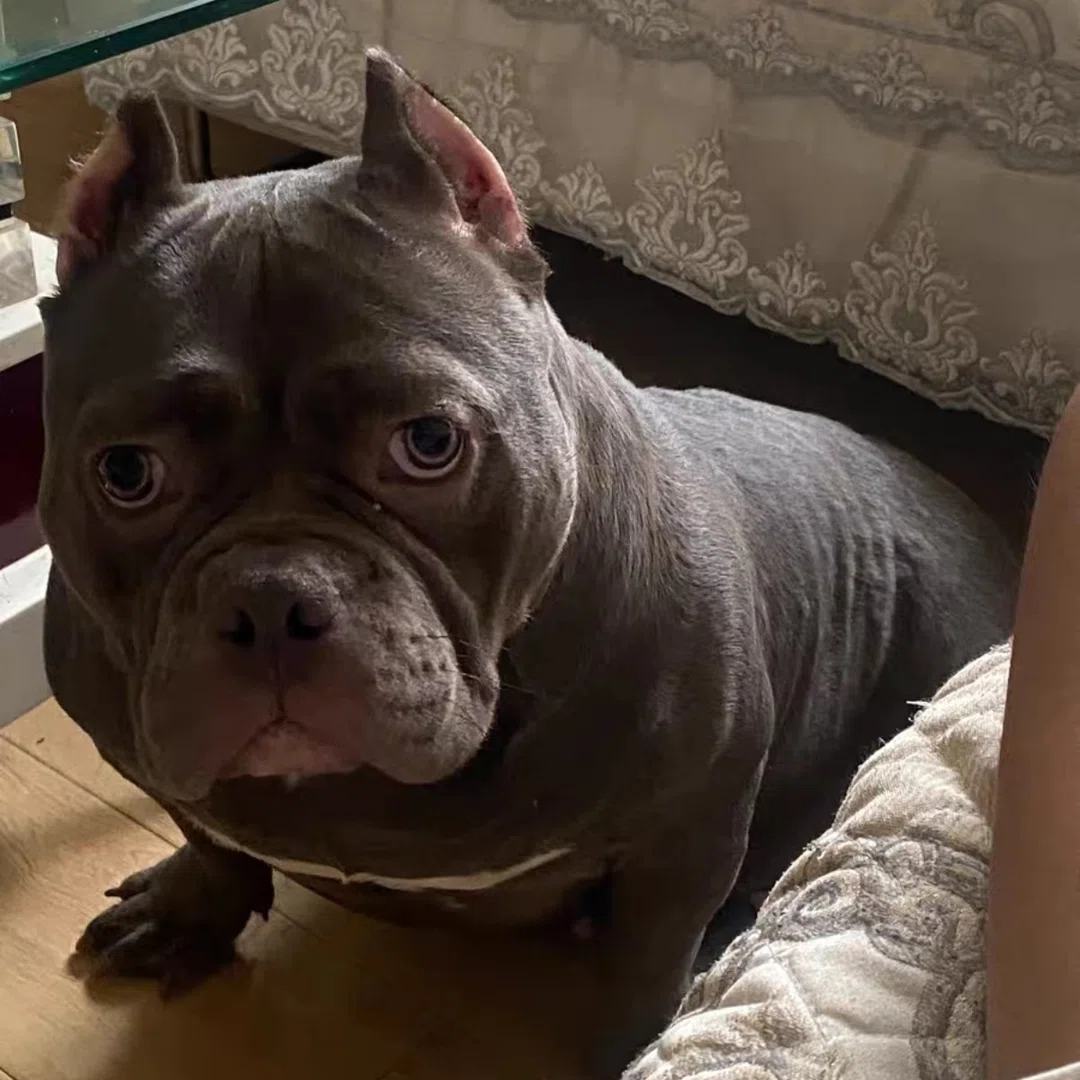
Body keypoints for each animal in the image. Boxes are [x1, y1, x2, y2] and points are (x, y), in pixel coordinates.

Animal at [39, 48, 1016, 1075]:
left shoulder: (685, 843)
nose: (270, 601)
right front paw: (191, 908)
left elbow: (647, 970)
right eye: (127, 473)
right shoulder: (141, 747)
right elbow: (213, 839)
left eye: (430, 442)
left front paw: (642, 1045)